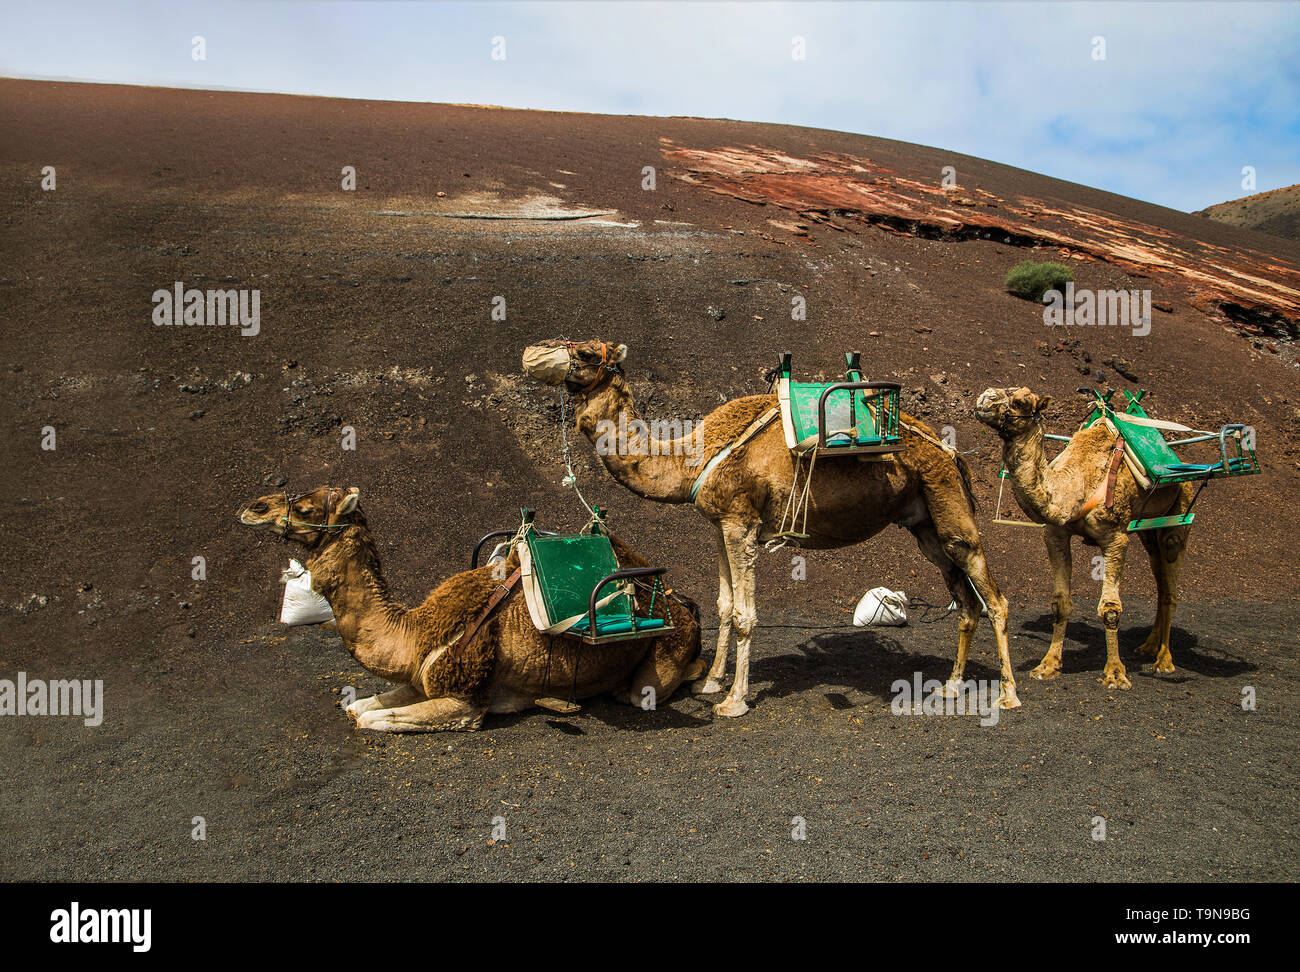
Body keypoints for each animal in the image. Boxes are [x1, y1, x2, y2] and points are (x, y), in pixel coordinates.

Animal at [233, 486, 702, 727]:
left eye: (305, 506)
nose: (251, 507)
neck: (415, 632)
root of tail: (681, 606)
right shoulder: (421, 677)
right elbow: (360, 707)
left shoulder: (467, 699)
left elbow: (376, 720)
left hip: (661, 657)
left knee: (646, 688)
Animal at [522, 340, 1019, 712]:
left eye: (588, 352)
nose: (531, 353)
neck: (691, 458)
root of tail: (949, 450)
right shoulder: (719, 525)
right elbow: (723, 605)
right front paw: (709, 684)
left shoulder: (741, 523)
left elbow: (745, 614)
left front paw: (734, 701)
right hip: (924, 524)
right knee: (965, 599)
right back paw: (951, 685)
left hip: (947, 501)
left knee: (992, 595)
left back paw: (1010, 694)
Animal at [977, 384, 1190, 686]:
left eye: (1020, 401)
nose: (985, 397)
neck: (1075, 484)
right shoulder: (1056, 534)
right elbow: (1060, 603)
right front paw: (1047, 666)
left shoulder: (1116, 538)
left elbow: (1110, 608)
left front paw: (1115, 673)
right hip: (1148, 531)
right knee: (1160, 577)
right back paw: (1148, 646)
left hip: (1179, 514)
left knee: (1170, 580)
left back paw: (1164, 660)